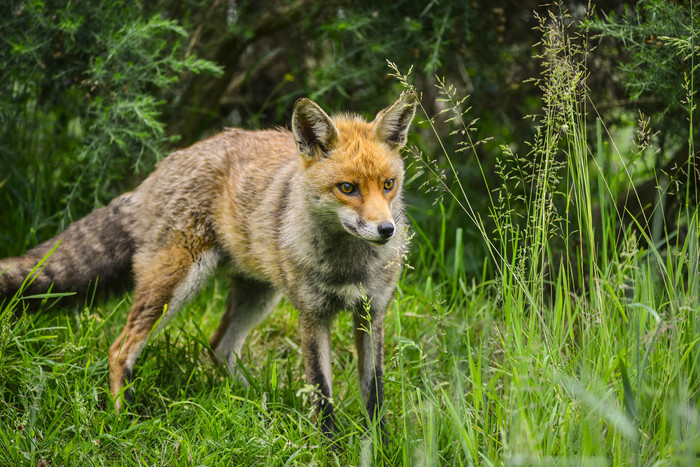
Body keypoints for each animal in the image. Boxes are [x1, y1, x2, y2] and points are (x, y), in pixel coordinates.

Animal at [0, 92, 416, 442]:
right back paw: (124, 422)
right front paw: (329, 448)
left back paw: (257, 407)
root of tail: (165, 164)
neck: (349, 266)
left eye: (389, 184)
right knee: (120, 351)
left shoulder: (373, 313)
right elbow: (321, 392)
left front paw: (380, 446)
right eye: (347, 188)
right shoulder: (313, 315)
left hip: (259, 295)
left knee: (218, 351)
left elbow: (374, 393)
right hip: (174, 285)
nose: (386, 230)